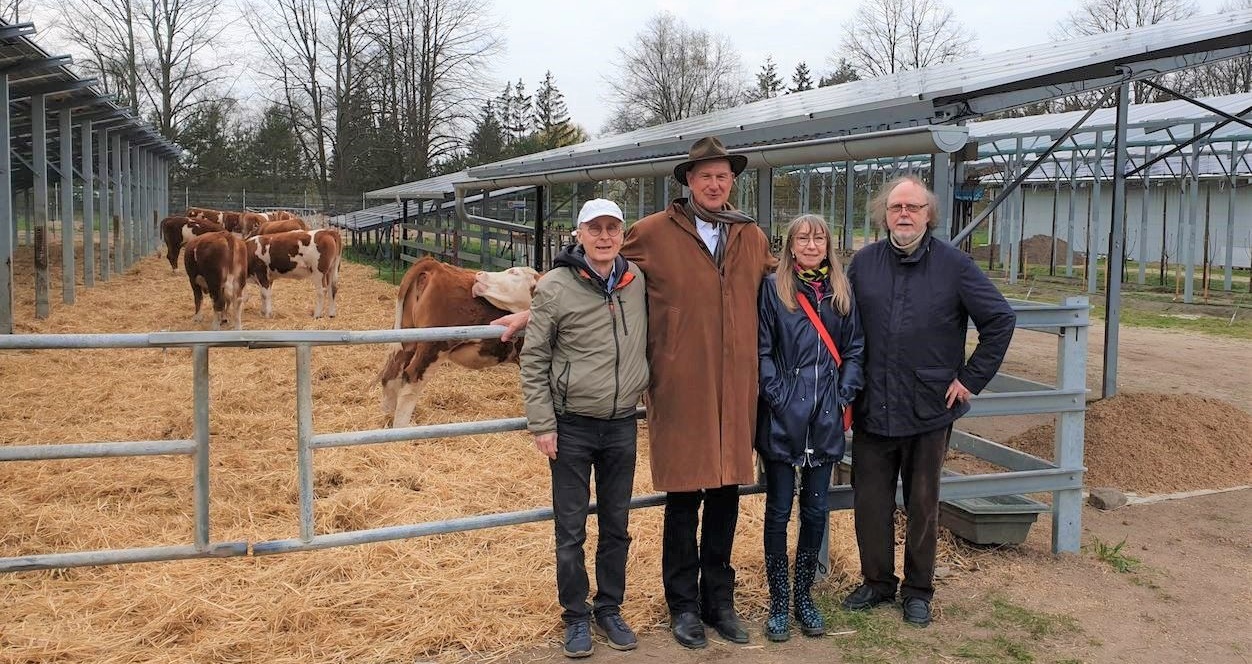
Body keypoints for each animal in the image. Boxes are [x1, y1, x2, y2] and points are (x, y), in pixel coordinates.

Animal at [378, 257, 541, 428]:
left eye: (514, 272)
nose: (479, 275)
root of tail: (436, 265)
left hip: (406, 340)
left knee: (390, 376)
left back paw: (387, 420)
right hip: (433, 347)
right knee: (411, 381)